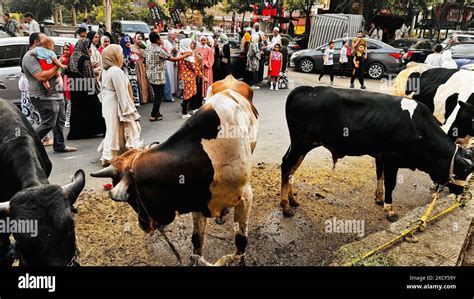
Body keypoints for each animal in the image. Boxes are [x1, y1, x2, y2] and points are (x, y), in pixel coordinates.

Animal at [280, 86, 472, 223]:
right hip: (301, 143)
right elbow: (390, 183)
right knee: (286, 166)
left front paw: (379, 198)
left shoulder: (381, 156)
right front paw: (390, 209)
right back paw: (285, 206)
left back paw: (292, 200)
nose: (461, 193)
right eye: (462, 170)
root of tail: (305, 89)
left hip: (301, 146)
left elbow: (379, 175)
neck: (420, 128)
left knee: (292, 169)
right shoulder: (392, 158)